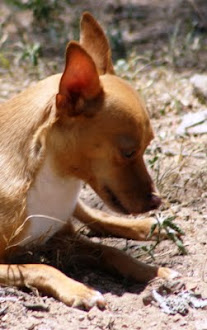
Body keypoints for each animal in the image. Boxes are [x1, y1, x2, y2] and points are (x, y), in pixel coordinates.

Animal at [0, 13, 178, 310]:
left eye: (148, 146)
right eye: (129, 152)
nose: (157, 200)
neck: (55, 177)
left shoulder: (62, 236)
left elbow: (110, 252)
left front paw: (150, 270)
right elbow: (42, 267)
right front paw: (79, 289)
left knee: (92, 214)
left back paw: (147, 226)